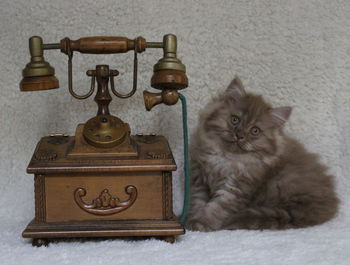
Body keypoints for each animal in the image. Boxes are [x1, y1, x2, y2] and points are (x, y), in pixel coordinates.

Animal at [186, 77, 340, 230]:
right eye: (235, 119)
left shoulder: (236, 188)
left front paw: (201, 224)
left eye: (255, 131)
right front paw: (192, 221)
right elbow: (198, 202)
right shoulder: (199, 178)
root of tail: (329, 203)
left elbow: (216, 208)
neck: (227, 158)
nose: (239, 136)